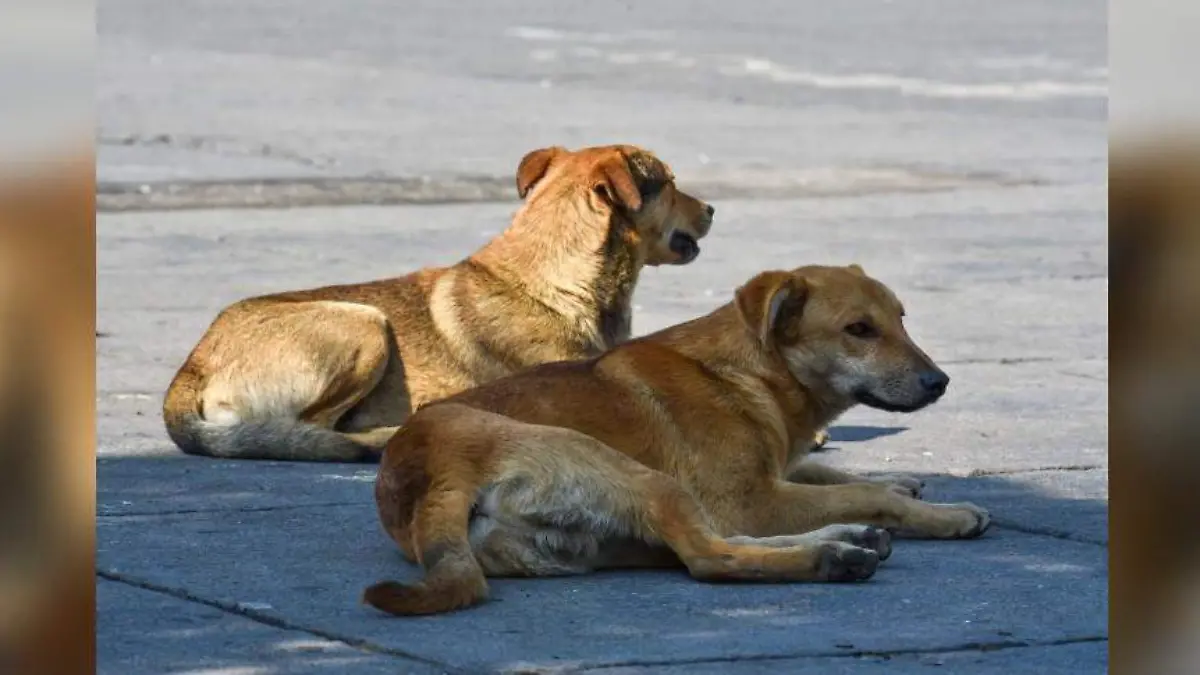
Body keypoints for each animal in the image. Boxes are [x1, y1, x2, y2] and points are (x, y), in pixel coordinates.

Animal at [165, 144, 715, 458]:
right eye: (669, 183)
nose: (712, 208)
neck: (557, 283)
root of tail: (192, 365)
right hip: (363, 324)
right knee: (313, 429)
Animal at [360, 264, 988, 614]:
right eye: (859, 330)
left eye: (902, 318)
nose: (940, 382)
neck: (750, 369)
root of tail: (430, 476)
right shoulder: (751, 500)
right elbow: (856, 491)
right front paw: (944, 514)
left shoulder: (771, 478)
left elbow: (828, 472)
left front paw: (902, 485)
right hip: (632, 475)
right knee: (710, 557)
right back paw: (830, 556)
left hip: (614, 533)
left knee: (713, 545)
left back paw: (846, 540)